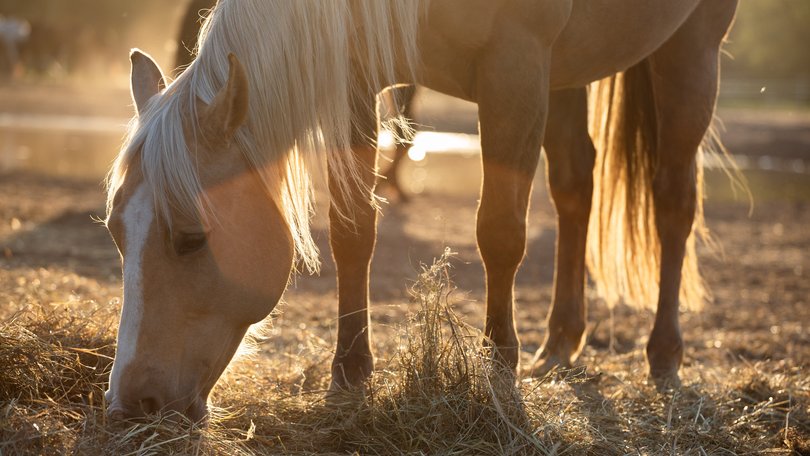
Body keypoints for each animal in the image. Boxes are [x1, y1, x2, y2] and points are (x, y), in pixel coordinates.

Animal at [103, 0, 738, 421]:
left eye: (191, 238)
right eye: (115, 234)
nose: (129, 403)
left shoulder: (515, 66)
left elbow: (500, 231)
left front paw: (498, 369)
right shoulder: (356, 73)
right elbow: (352, 229)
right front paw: (349, 372)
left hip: (690, 48)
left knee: (673, 199)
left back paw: (663, 354)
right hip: (567, 69)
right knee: (574, 186)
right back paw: (559, 342)